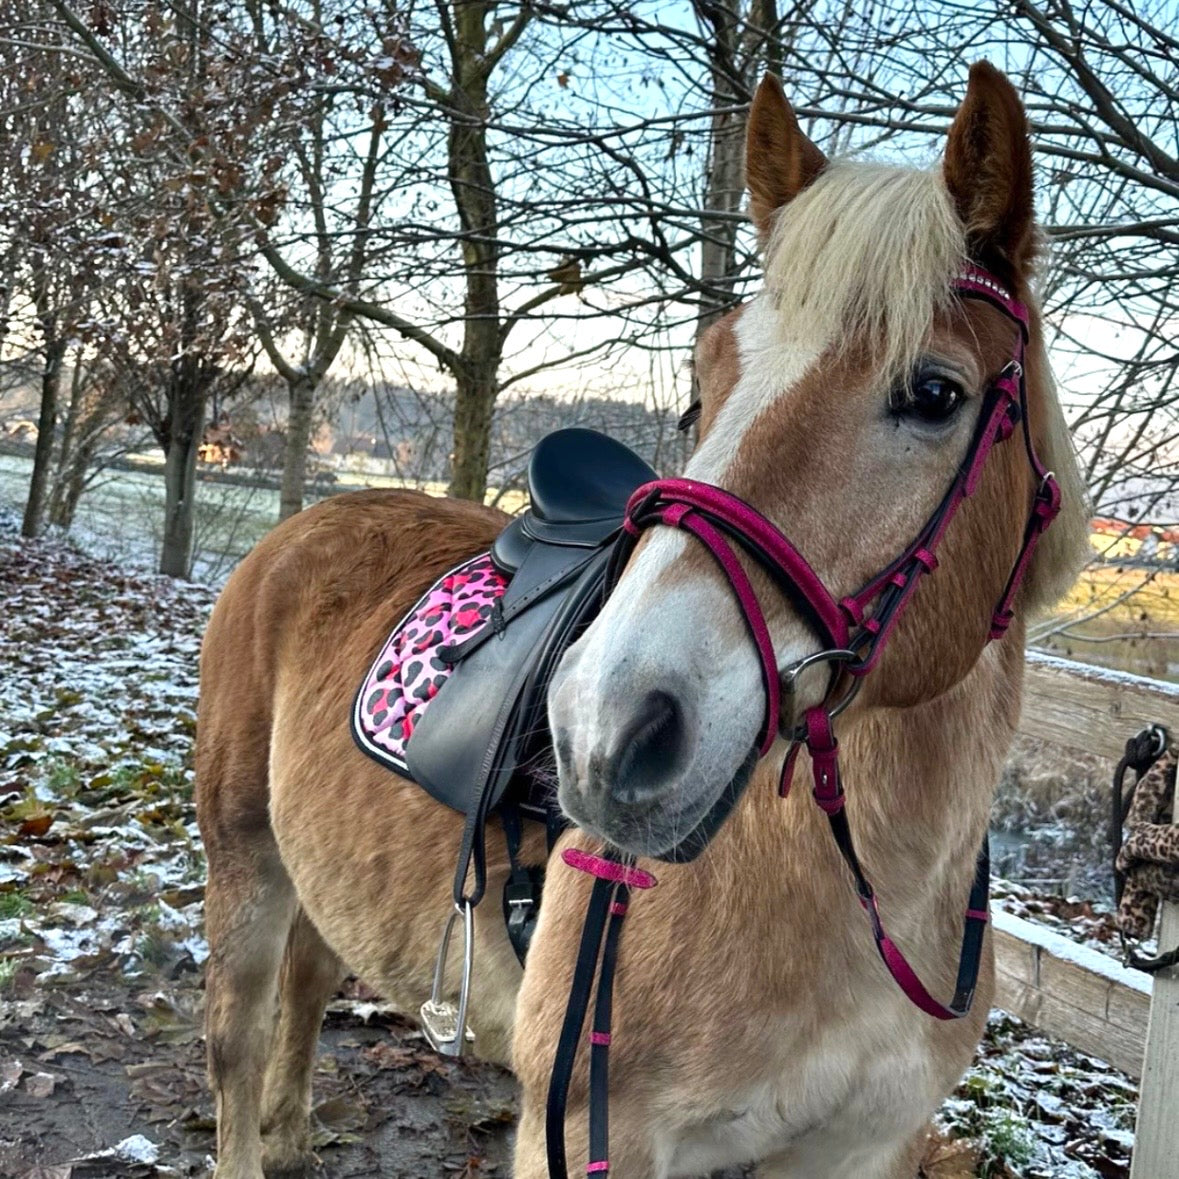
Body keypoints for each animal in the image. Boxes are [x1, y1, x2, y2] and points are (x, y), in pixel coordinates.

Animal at [196, 61, 1089, 1179]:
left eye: (934, 392)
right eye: (704, 384)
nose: (601, 728)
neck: (863, 887)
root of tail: (303, 525)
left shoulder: (860, 1148)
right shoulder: (587, 1125)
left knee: (312, 979)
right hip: (243, 856)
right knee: (237, 1033)